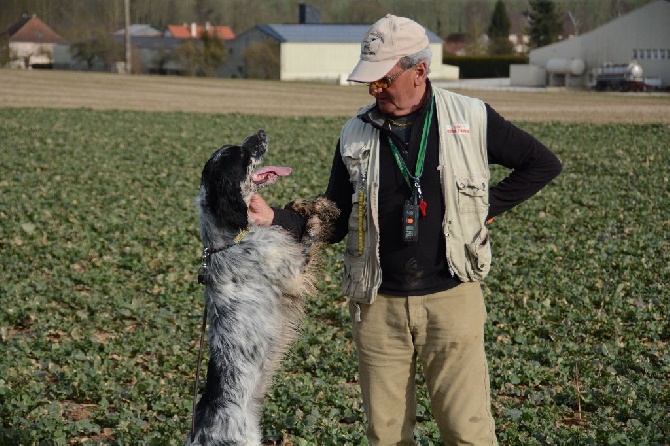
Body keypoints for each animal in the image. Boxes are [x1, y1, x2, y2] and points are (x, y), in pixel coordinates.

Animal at [186, 131, 338, 444]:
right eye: (242, 155)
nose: (261, 133)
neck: (229, 239)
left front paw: (302, 204)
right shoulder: (295, 272)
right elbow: (312, 232)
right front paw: (321, 209)